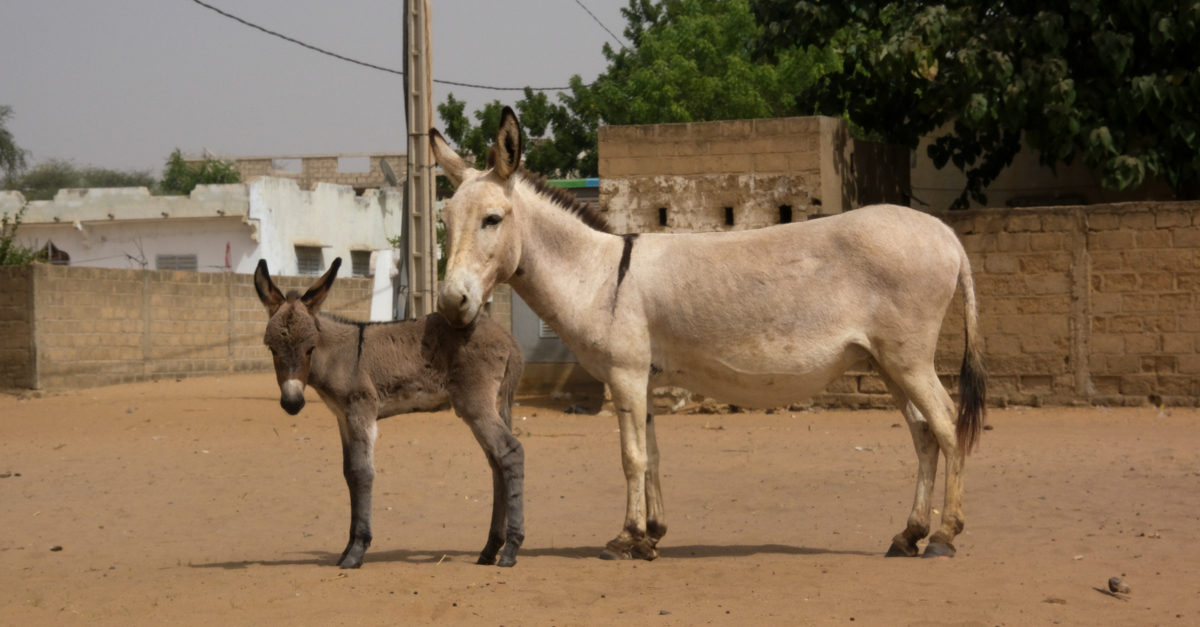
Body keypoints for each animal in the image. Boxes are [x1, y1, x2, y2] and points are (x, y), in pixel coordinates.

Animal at [254, 258, 526, 568]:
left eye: (310, 348)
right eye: (272, 349)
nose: (292, 404)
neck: (339, 355)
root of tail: (506, 336)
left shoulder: (361, 411)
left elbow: (362, 472)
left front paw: (357, 551)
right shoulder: (343, 418)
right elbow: (349, 474)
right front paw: (347, 548)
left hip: (476, 404)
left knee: (510, 451)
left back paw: (510, 549)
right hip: (477, 407)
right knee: (496, 461)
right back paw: (490, 548)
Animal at [428, 107, 987, 561]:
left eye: (492, 219)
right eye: (446, 221)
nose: (451, 303)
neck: (599, 274)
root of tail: (948, 235)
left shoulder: (624, 374)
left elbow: (631, 457)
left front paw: (624, 540)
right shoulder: (642, 379)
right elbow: (652, 455)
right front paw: (651, 534)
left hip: (908, 358)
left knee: (946, 423)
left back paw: (945, 537)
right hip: (888, 362)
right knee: (924, 434)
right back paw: (909, 535)